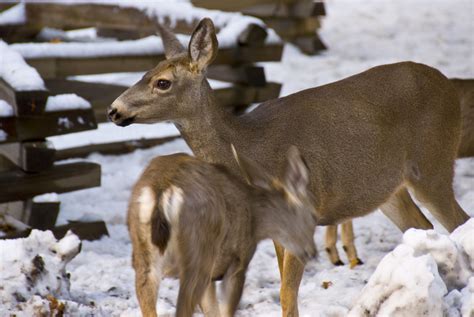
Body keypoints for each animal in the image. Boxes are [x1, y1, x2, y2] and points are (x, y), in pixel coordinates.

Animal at [128, 147, 316, 314]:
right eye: (312, 216)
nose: (313, 252)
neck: (254, 219)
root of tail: (163, 188)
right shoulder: (238, 263)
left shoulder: (213, 275)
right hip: (199, 250)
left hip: (144, 258)